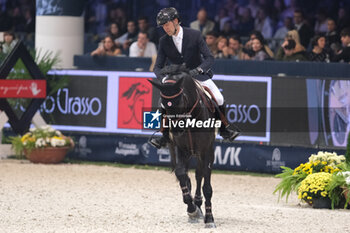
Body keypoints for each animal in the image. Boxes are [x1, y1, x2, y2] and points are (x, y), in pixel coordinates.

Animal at [148, 65, 219, 228]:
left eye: (180, 101)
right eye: (163, 104)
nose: (176, 130)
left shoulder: (207, 151)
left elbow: (207, 186)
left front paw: (209, 218)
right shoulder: (181, 149)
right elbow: (181, 173)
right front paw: (191, 208)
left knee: (199, 175)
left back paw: (199, 204)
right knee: (187, 175)